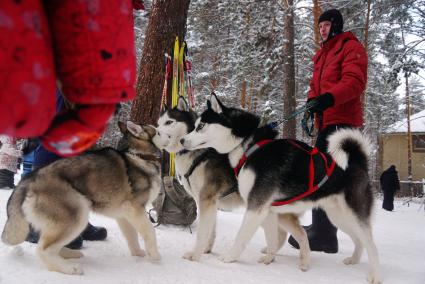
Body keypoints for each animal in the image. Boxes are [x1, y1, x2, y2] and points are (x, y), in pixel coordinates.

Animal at [2, 121, 161, 276]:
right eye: (158, 129)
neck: (140, 156)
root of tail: (29, 179)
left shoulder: (124, 215)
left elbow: (132, 236)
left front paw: (138, 253)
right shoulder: (135, 209)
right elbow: (150, 232)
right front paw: (154, 256)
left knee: (51, 244)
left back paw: (68, 254)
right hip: (78, 214)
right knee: (43, 249)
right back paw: (67, 268)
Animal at [182, 94, 380, 282]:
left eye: (201, 126)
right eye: (195, 125)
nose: (183, 140)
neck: (249, 145)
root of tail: (358, 161)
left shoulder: (256, 207)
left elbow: (241, 236)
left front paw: (229, 258)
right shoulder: (268, 210)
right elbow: (271, 238)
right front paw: (269, 258)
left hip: (354, 215)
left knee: (371, 245)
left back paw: (375, 275)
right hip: (339, 217)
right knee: (359, 240)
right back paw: (353, 259)